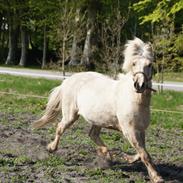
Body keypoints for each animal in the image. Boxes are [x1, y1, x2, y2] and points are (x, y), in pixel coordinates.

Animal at [32, 38, 164, 182]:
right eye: (134, 63)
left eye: (149, 65)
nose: (139, 85)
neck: (136, 100)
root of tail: (68, 80)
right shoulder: (130, 131)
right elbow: (144, 154)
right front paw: (157, 177)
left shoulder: (140, 130)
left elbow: (142, 152)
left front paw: (127, 158)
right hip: (70, 115)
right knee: (60, 128)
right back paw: (51, 148)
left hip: (98, 119)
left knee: (92, 134)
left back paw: (107, 155)